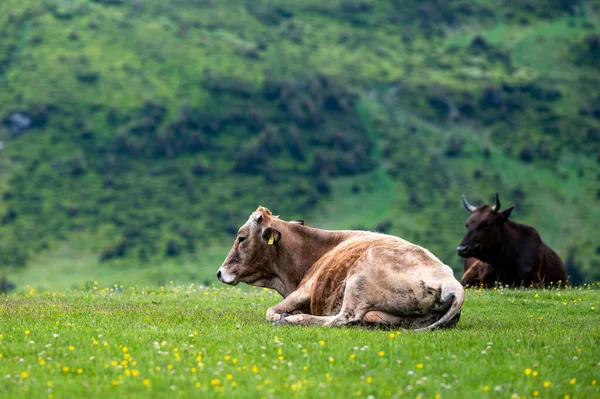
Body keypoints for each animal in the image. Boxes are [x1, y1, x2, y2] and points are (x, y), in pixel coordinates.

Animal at [216, 206, 464, 332]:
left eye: (241, 237)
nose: (219, 272)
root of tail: (453, 284)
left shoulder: (305, 289)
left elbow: (270, 311)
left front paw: (284, 315)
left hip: (360, 276)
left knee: (342, 319)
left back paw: (291, 320)